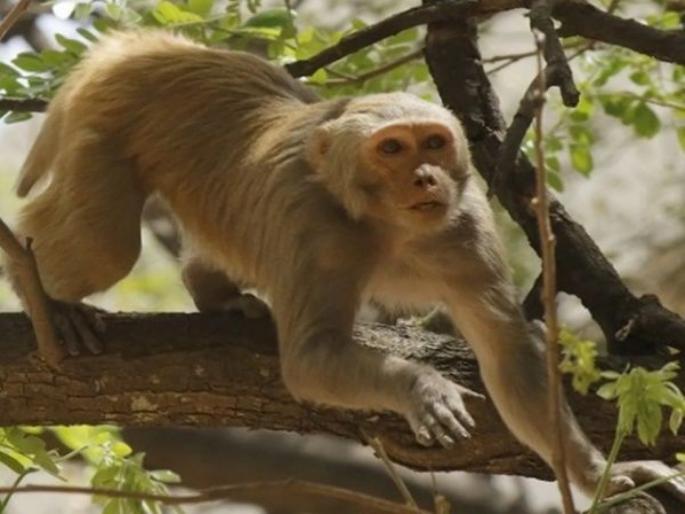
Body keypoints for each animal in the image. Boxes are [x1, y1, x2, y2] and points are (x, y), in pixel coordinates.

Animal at [6, 30, 685, 499]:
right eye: (392, 148)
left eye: (433, 142)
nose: (425, 175)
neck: (390, 227)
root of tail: (150, 48)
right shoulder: (315, 228)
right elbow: (310, 359)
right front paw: (420, 387)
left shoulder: (466, 228)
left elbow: (509, 357)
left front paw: (601, 476)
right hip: (104, 124)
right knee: (105, 245)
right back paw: (41, 288)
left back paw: (210, 287)